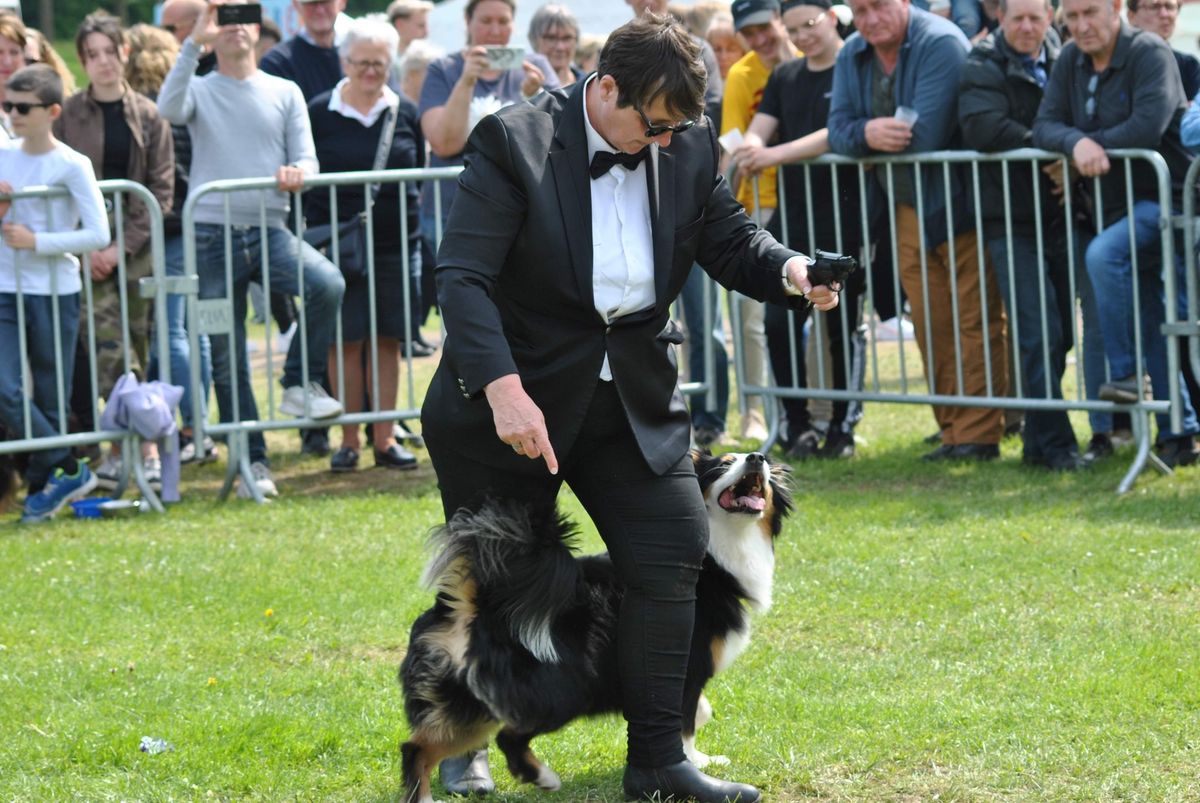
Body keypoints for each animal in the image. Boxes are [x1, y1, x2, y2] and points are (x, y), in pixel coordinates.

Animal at [403, 451, 792, 801]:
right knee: (507, 736)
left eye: (763, 463)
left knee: (416, 748)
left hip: (470, 700)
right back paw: (543, 777)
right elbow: (686, 721)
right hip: (562, 690)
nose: (757, 458)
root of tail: (475, 605)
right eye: (725, 463)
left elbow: (701, 711)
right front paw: (697, 764)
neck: (718, 551)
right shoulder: (690, 667)